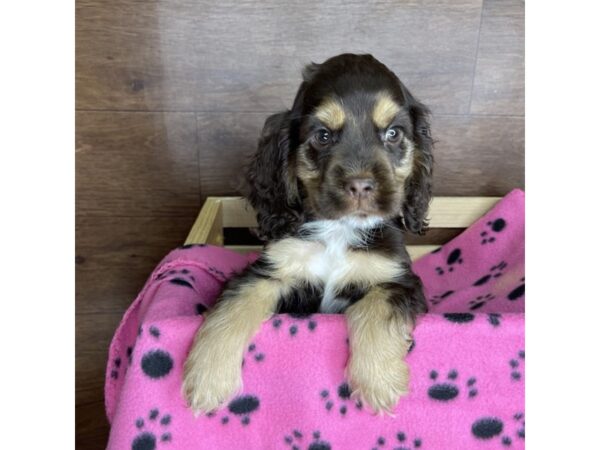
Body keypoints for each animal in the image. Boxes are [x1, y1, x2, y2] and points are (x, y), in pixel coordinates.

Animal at [183, 52, 432, 414]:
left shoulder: (399, 280)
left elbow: (375, 307)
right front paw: (207, 378)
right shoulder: (270, 270)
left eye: (393, 133)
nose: (361, 185)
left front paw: (379, 382)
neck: (339, 230)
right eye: (323, 136)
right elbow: (234, 306)